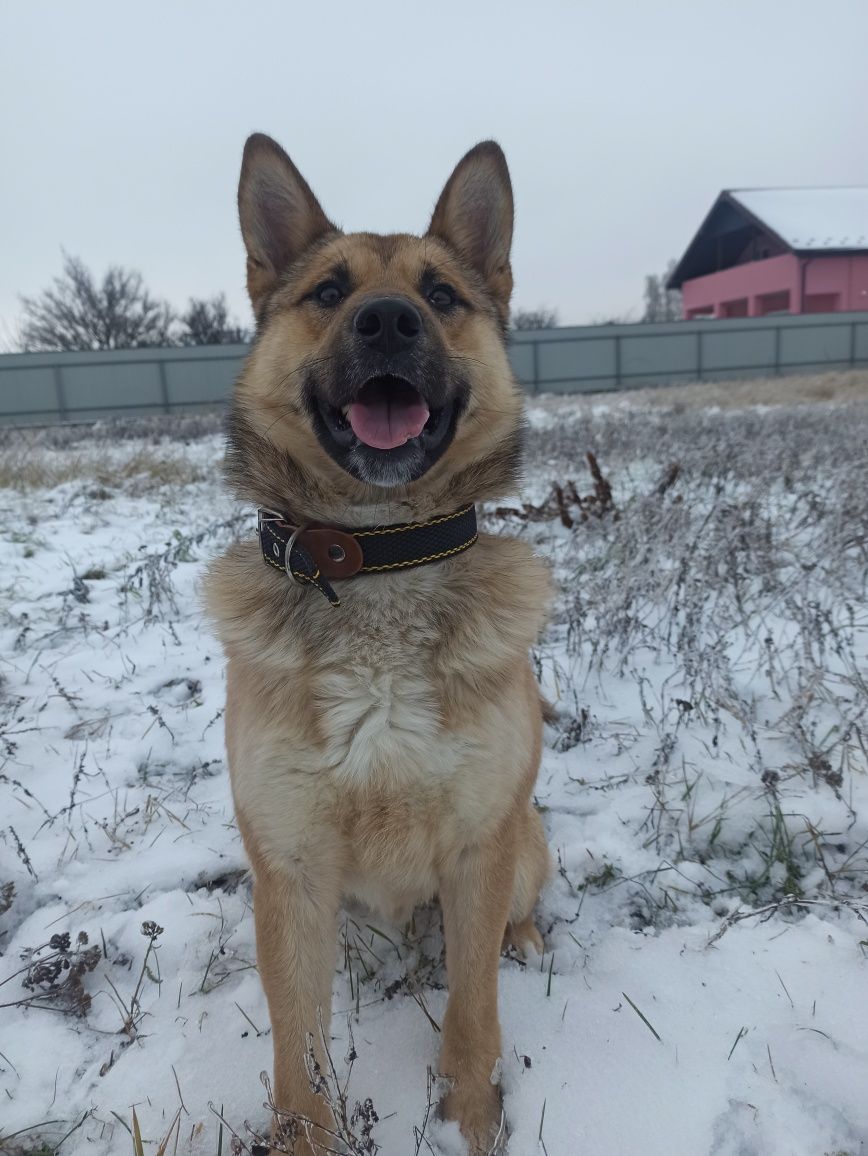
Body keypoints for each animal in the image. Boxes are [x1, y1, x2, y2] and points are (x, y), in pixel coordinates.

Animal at [205, 132, 550, 1146]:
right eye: (328, 291)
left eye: (441, 295)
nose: (389, 321)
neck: (376, 556)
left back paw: (527, 939)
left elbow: (475, 1012)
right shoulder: (290, 871)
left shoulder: (480, 845)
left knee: (520, 912)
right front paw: (306, 1137)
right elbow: (299, 1058)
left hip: (525, 842)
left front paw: (471, 1122)